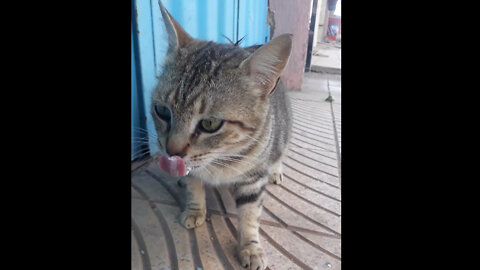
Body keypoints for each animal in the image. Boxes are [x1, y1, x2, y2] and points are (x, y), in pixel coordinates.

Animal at [152, 2, 292, 270]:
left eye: (210, 124)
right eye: (162, 111)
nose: (171, 152)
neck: (219, 160)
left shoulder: (253, 179)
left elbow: (250, 216)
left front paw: (251, 247)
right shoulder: (193, 170)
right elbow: (194, 187)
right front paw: (194, 210)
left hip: (283, 134)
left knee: (279, 153)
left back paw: (276, 171)